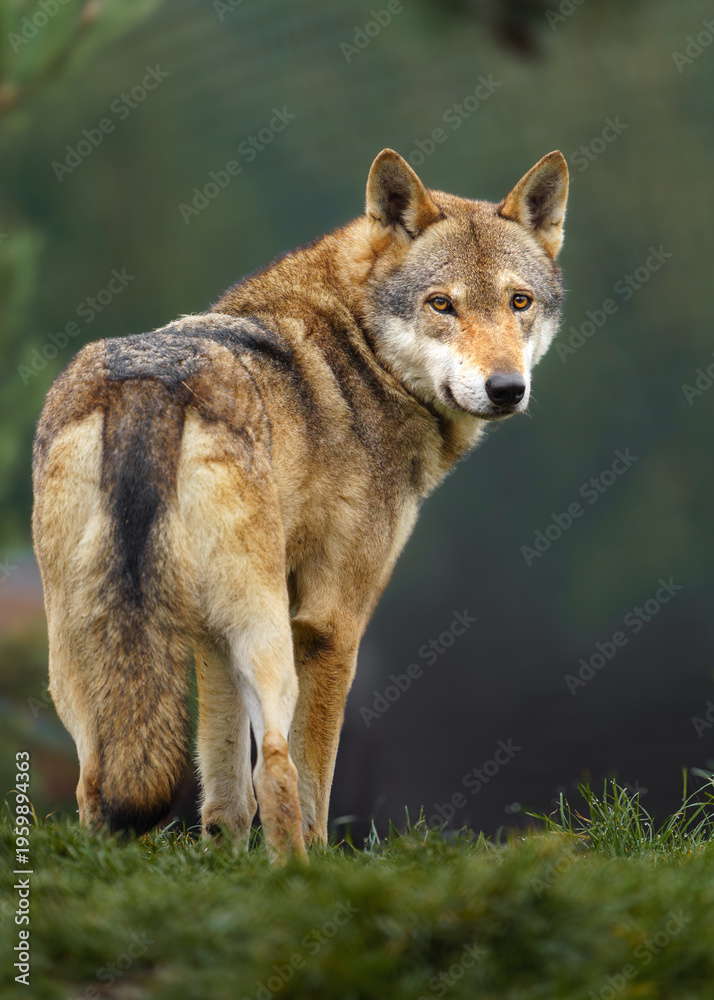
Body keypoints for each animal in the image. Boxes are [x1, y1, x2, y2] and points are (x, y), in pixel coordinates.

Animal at [32, 148, 569, 859]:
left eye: (519, 302)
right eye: (441, 304)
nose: (507, 388)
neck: (362, 352)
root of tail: (149, 383)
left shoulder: (210, 636)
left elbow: (224, 793)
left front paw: (223, 862)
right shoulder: (332, 624)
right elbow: (313, 784)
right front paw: (313, 860)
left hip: (81, 657)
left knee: (97, 779)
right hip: (264, 636)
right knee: (278, 767)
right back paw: (297, 873)